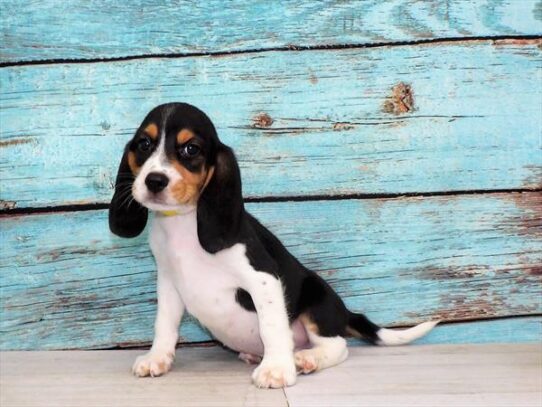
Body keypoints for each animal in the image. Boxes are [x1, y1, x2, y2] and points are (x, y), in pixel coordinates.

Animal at [108, 102, 440, 388]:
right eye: (144, 145)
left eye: (191, 149)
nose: (154, 180)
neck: (183, 224)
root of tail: (345, 314)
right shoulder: (169, 284)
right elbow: (164, 326)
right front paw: (157, 359)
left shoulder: (263, 278)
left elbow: (272, 327)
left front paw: (277, 369)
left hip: (316, 302)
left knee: (339, 346)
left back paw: (305, 358)